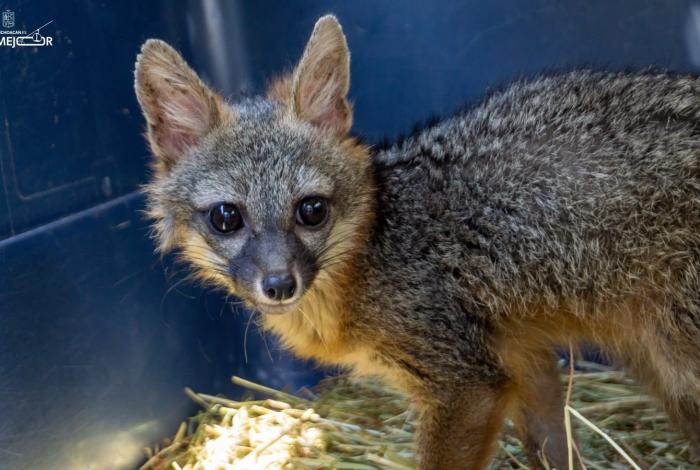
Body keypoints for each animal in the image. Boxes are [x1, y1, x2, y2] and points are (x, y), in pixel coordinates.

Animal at [134, 14, 700, 470]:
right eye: (226, 218)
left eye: (311, 210)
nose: (278, 284)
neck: (375, 251)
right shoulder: (522, 360)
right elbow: (554, 448)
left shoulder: (466, 385)